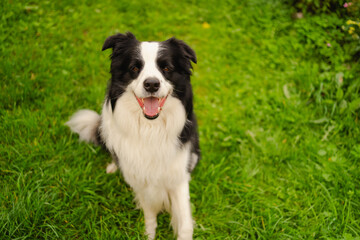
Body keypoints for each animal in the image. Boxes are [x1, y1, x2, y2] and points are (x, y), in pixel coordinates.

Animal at [67, 32, 200, 240]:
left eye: (166, 68)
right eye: (135, 68)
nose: (152, 84)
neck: (150, 128)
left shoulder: (178, 175)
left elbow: (185, 224)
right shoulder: (139, 179)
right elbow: (150, 214)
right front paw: (149, 233)